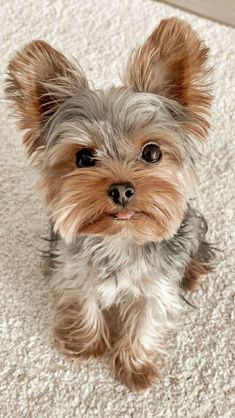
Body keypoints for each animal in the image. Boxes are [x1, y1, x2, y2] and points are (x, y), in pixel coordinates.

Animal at [5, 18, 216, 392]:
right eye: (84, 158)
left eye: (152, 152)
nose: (121, 189)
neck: (120, 239)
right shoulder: (75, 271)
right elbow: (83, 301)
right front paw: (85, 343)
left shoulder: (156, 288)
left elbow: (147, 320)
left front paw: (136, 368)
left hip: (191, 226)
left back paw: (191, 273)